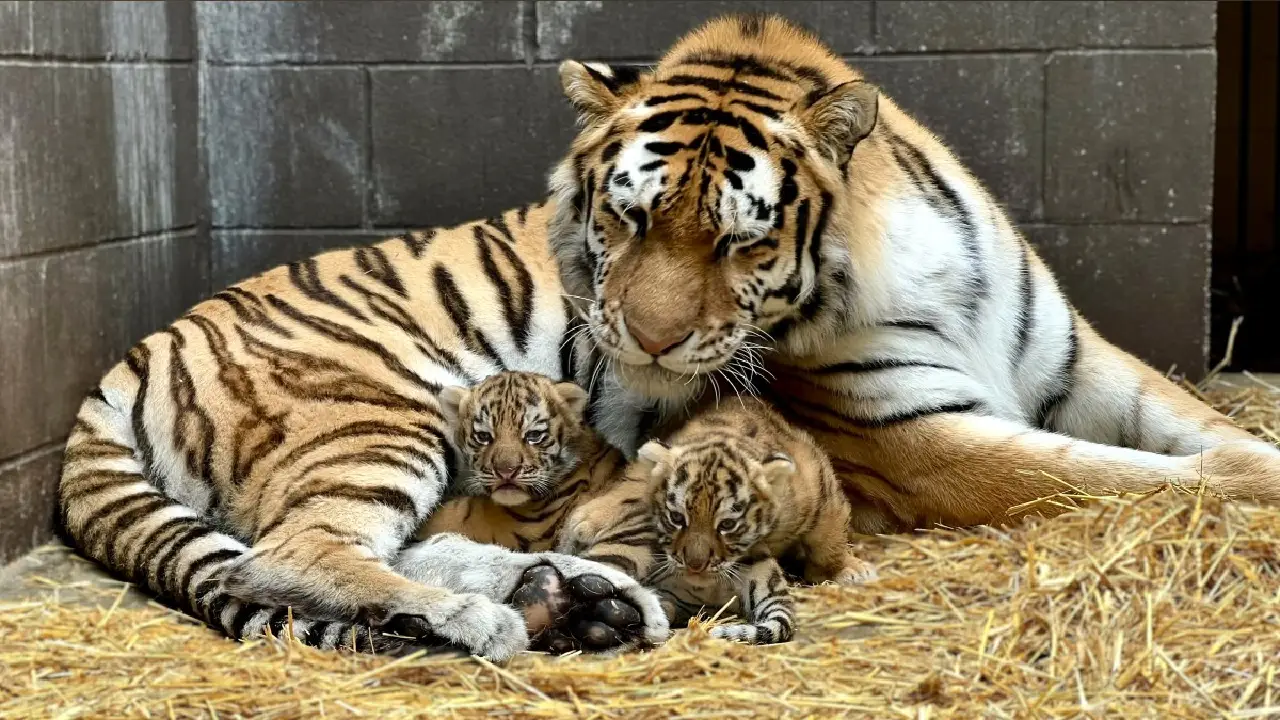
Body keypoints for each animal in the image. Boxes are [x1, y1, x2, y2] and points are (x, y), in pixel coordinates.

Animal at [547, 11, 1280, 532]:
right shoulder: (919, 437)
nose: (651, 341)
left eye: (739, 240)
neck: (912, 261)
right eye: (629, 216)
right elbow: (1122, 476)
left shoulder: (1081, 364)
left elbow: (1201, 427)